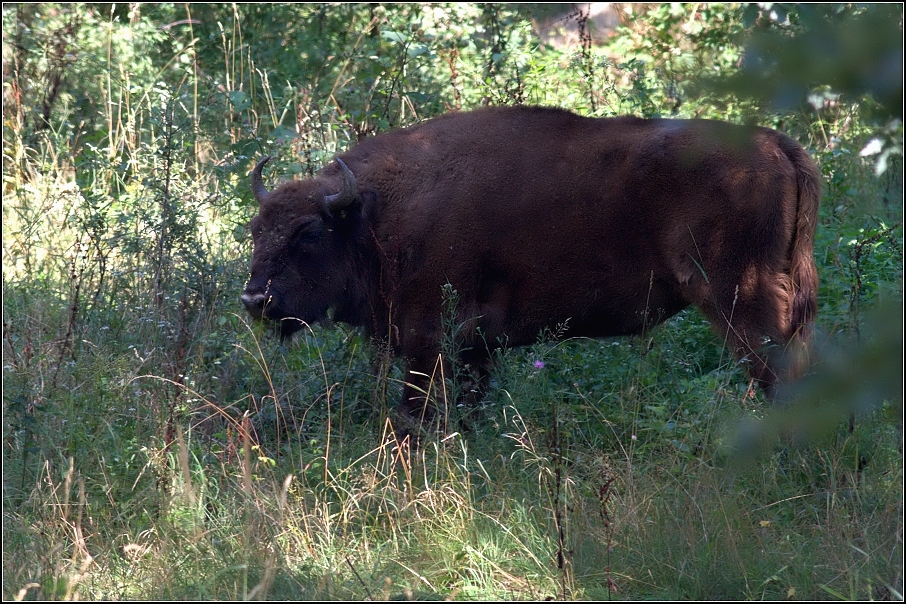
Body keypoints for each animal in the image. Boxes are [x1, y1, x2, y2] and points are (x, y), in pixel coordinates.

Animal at [240, 107, 820, 430]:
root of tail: (775, 144)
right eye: (254, 229)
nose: (254, 300)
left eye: (309, 232)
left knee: (779, 373)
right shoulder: (474, 349)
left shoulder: (430, 341)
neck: (377, 212)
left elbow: (415, 413)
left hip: (740, 299)